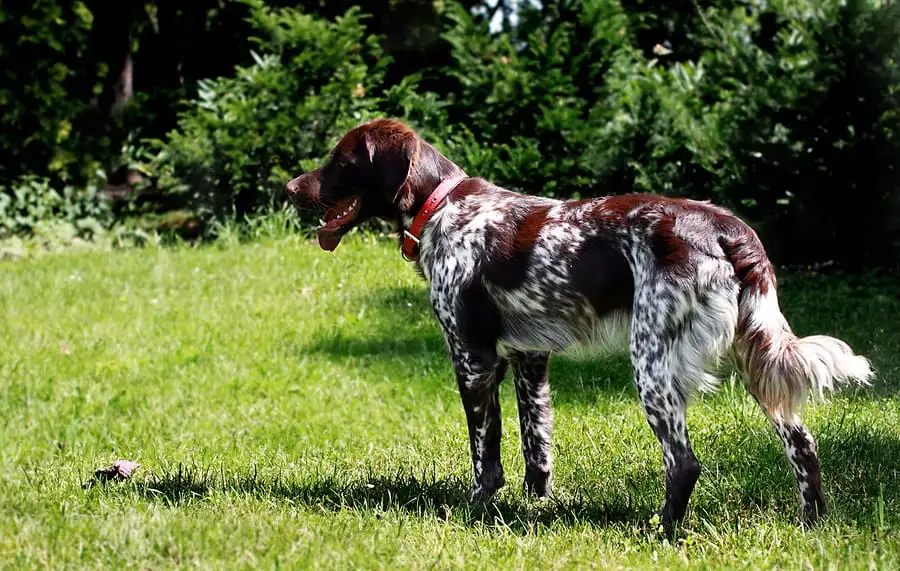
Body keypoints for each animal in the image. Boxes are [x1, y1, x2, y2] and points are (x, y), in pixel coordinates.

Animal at [284, 117, 876, 532]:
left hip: (652, 365)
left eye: (339, 160)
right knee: (802, 443)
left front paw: (476, 511)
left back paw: (661, 533)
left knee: (684, 463)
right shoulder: (529, 359)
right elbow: (536, 447)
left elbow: (485, 454)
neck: (443, 209)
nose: (290, 188)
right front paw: (535, 507)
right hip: (756, 358)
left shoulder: (474, 360)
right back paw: (811, 523)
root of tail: (726, 227)